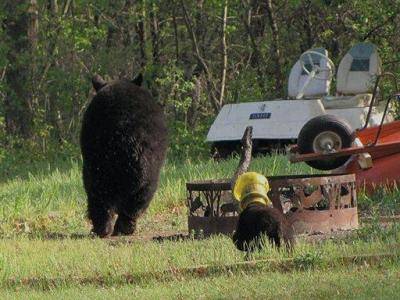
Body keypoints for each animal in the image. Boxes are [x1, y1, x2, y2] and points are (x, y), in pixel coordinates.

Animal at [80, 74, 168, 237]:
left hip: (98, 160)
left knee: (98, 191)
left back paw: (103, 227)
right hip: (145, 162)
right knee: (138, 194)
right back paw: (120, 227)